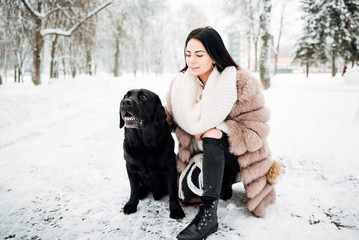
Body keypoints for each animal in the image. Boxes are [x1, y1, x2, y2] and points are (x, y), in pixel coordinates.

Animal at [120, 88, 184, 219]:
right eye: (126, 96)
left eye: (144, 96)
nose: (126, 102)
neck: (144, 147)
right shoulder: (130, 167)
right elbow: (133, 188)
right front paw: (131, 204)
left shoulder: (169, 167)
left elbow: (173, 191)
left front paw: (176, 209)